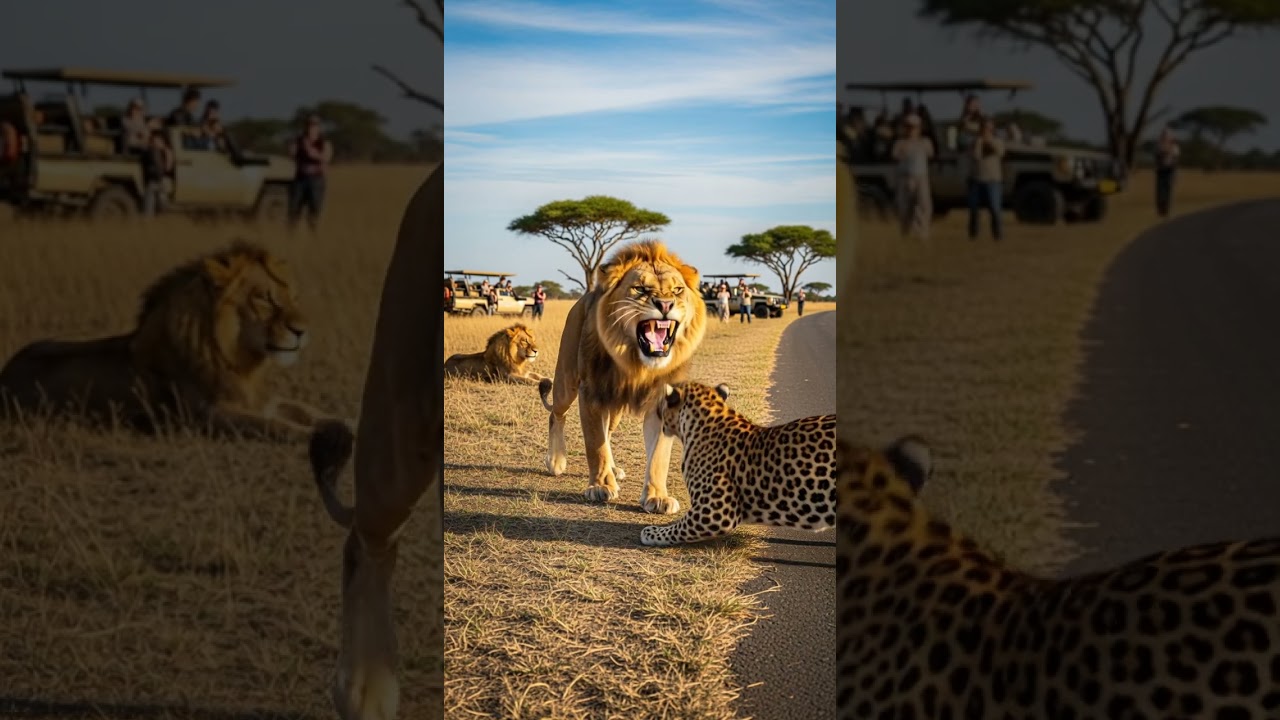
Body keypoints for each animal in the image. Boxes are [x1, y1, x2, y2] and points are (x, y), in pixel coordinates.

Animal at [0, 239, 337, 441]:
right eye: (265, 299)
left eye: (293, 298)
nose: (303, 331)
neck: (239, 360)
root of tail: (5, 371)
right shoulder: (207, 417)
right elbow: (274, 425)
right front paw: (321, 436)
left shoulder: (262, 400)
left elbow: (308, 409)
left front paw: (341, 422)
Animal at [539, 239, 707, 514]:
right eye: (640, 288)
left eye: (677, 290)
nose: (665, 305)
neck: (636, 364)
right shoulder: (591, 393)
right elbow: (594, 443)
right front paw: (600, 486)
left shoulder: (662, 402)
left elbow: (658, 455)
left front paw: (657, 497)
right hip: (566, 382)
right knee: (557, 414)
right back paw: (556, 461)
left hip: (613, 407)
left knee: (607, 432)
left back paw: (613, 469)